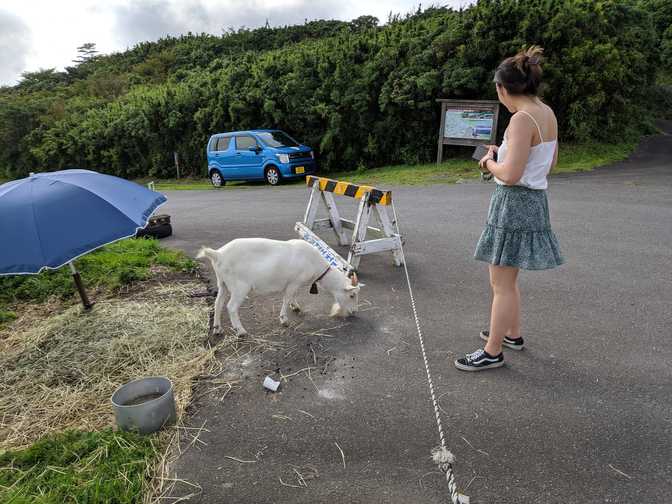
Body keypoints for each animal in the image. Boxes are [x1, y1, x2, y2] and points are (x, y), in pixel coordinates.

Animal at [194, 238, 362, 336]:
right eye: (352, 295)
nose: (354, 312)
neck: (315, 264)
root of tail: (218, 254)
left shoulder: (294, 283)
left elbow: (293, 296)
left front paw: (296, 307)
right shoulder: (293, 282)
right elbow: (286, 299)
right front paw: (284, 320)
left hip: (222, 282)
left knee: (218, 303)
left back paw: (217, 329)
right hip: (239, 286)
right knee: (231, 307)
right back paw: (241, 331)